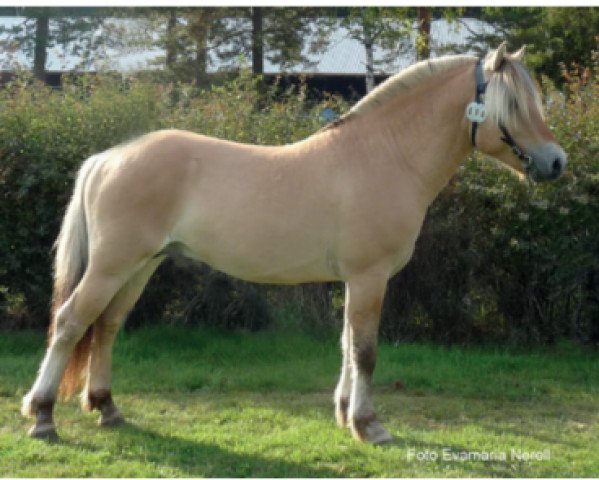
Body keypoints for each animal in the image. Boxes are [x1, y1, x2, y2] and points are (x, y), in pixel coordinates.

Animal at [22, 43, 568, 444]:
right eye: (513, 105)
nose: (556, 161)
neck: (384, 156)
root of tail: (109, 157)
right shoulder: (369, 278)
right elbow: (365, 350)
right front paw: (369, 426)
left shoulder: (355, 281)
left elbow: (347, 345)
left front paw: (345, 415)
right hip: (112, 265)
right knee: (71, 322)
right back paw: (43, 416)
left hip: (140, 266)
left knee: (107, 326)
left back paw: (107, 408)